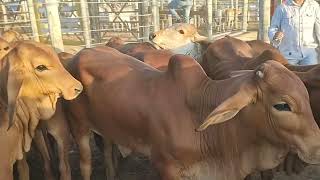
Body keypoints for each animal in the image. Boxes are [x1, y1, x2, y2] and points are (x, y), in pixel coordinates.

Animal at [66, 46, 320, 180]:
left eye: (307, 97)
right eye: (282, 105)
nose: (317, 148)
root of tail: (79, 53)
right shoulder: (166, 166)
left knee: (108, 150)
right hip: (78, 127)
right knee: (86, 161)